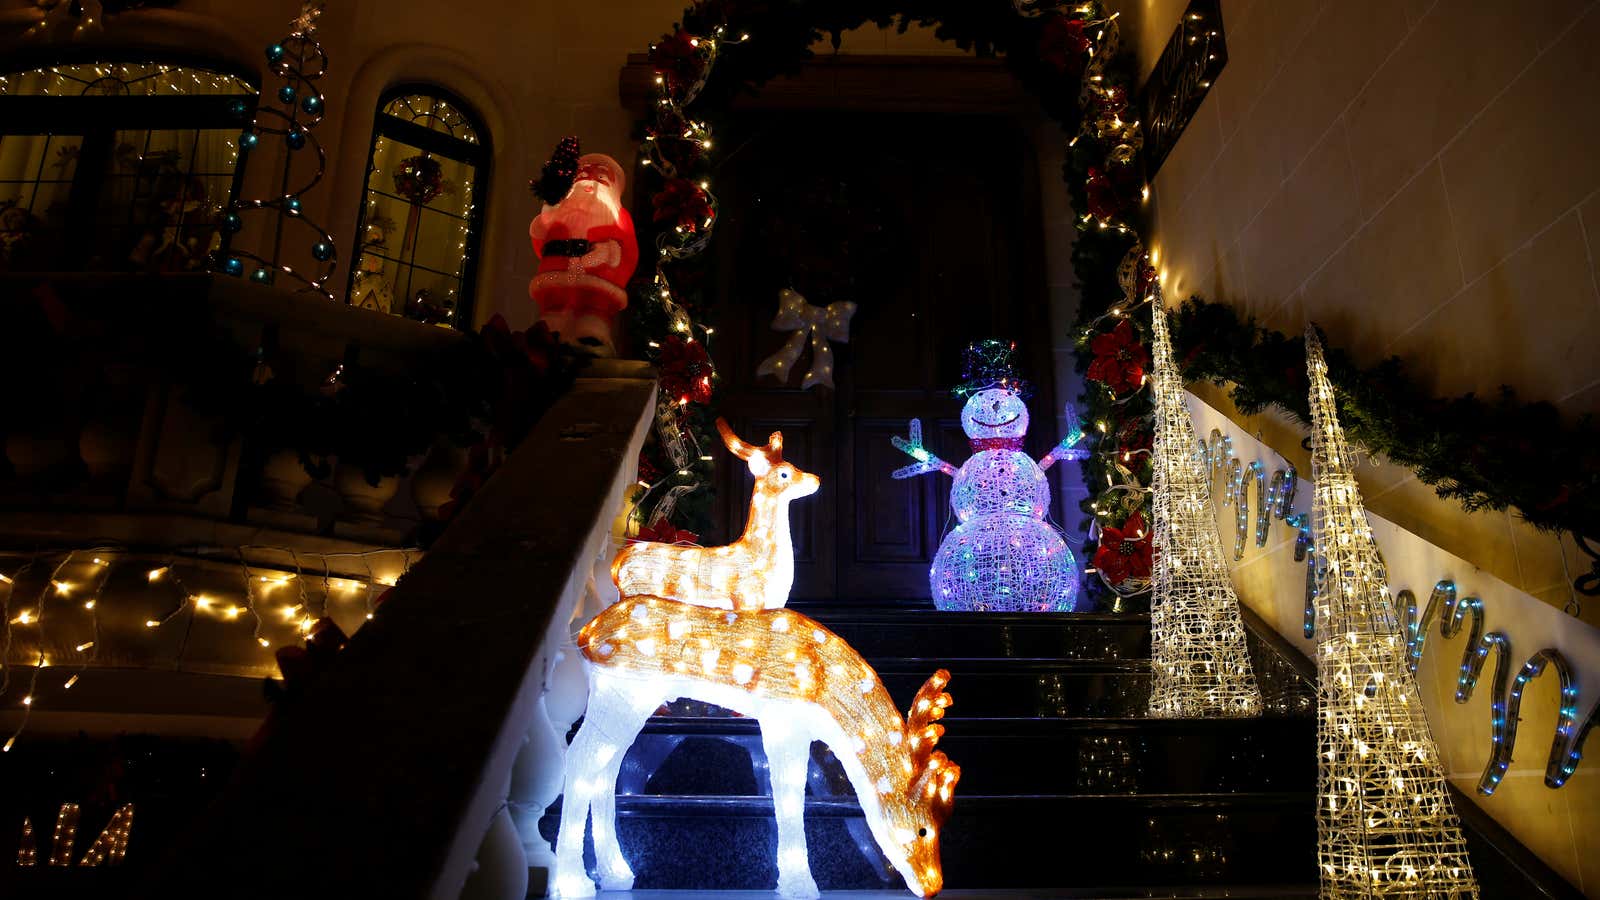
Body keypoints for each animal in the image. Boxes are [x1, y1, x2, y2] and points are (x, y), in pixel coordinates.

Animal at [556, 592, 953, 890]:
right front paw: (800, 885)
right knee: (579, 761)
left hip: (625, 706)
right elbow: (787, 797)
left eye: (941, 828)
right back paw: (575, 881)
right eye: (924, 830)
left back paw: (616, 873)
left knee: (604, 771)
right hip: (624, 697)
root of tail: (585, 636)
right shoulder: (783, 720)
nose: (932, 886)